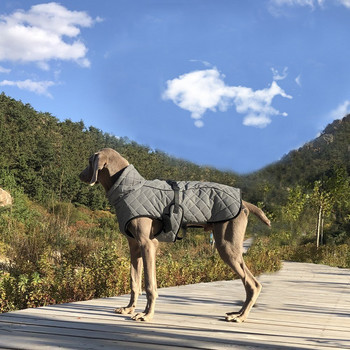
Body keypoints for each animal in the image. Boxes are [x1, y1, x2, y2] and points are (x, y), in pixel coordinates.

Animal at [80, 148, 270, 322]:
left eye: (89, 161)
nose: (80, 175)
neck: (130, 188)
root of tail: (244, 202)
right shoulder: (134, 246)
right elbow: (134, 281)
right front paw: (129, 309)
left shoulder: (147, 244)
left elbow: (149, 284)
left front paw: (146, 315)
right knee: (249, 283)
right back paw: (237, 313)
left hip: (227, 245)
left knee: (253, 284)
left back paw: (240, 316)